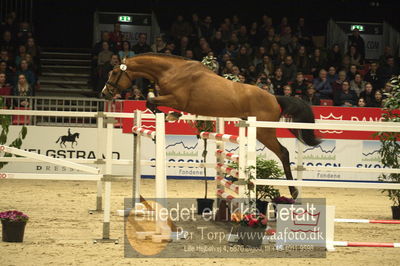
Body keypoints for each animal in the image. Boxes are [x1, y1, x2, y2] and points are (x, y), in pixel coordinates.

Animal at [101, 53, 320, 198]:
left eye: (114, 72)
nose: (105, 93)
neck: (171, 71)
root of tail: (274, 97)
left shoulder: (176, 99)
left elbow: (150, 100)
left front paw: (170, 115)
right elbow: (151, 100)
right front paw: (170, 115)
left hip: (264, 132)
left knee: (283, 152)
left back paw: (293, 190)